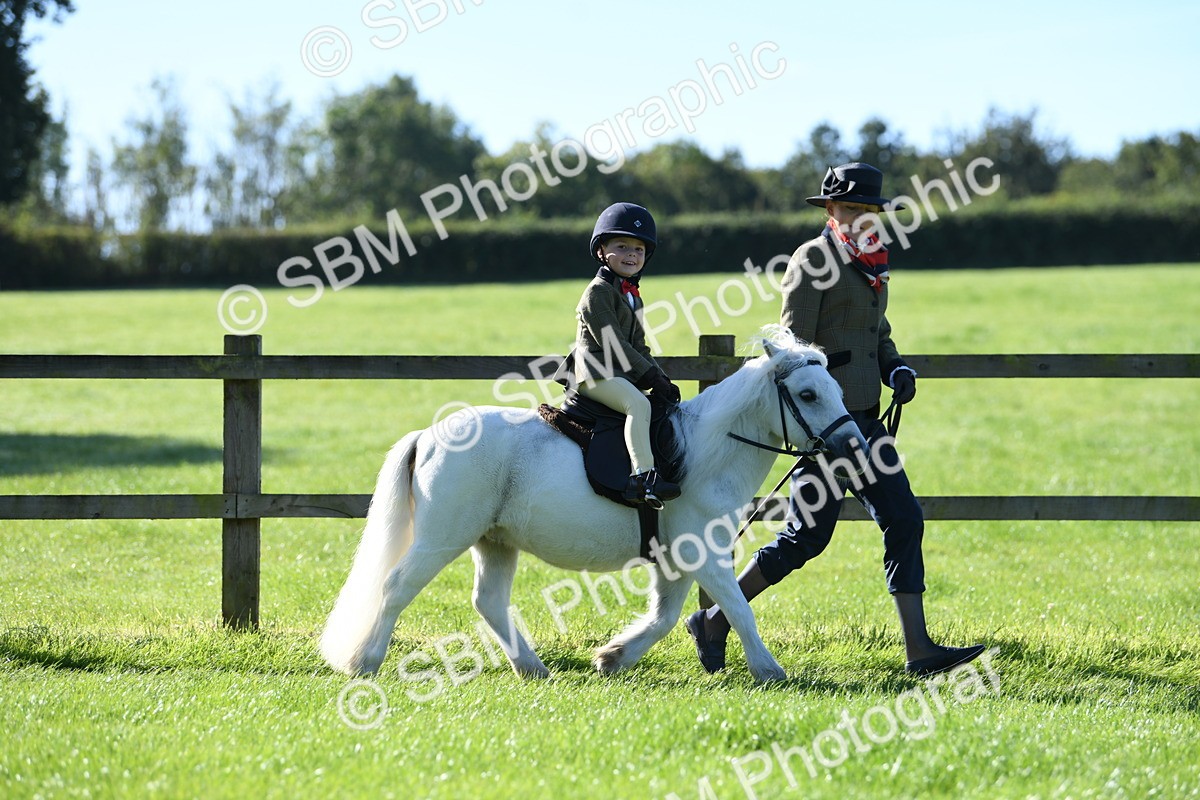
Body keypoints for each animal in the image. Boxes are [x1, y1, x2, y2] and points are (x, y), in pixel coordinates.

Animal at [319, 325, 867, 683]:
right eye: (808, 393)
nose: (854, 446)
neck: (705, 451)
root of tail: (429, 435)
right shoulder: (704, 555)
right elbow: (737, 608)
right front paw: (770, 671)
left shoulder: (677, 559)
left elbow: (666, 616)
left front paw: (612, 658)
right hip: (443, 537)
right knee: (396, 586)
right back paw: (364, 663)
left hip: (494, 541)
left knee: (488, 600)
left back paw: (533, 668)